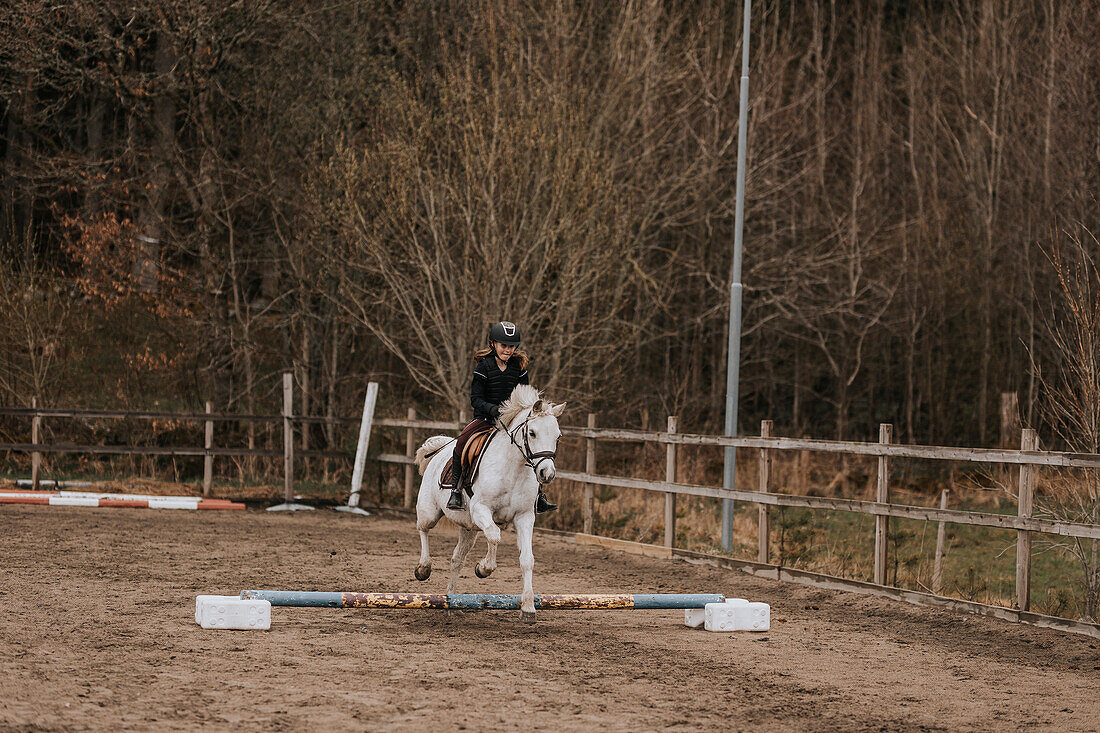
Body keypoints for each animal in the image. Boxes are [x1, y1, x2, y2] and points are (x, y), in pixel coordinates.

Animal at [413, 385, 567, 620]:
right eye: (532, 433)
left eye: (557, 436)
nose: (547, 474)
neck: (514, 468)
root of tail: (439, 451)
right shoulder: (481, 509)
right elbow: (495, 536)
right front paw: (483, 568)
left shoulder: (524, 517)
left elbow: (527, 559)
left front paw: (528, 608)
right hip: (430, 512)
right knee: (423, 529)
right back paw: (423, 568)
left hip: (469, 528)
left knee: (457, 558)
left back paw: (451, 602)